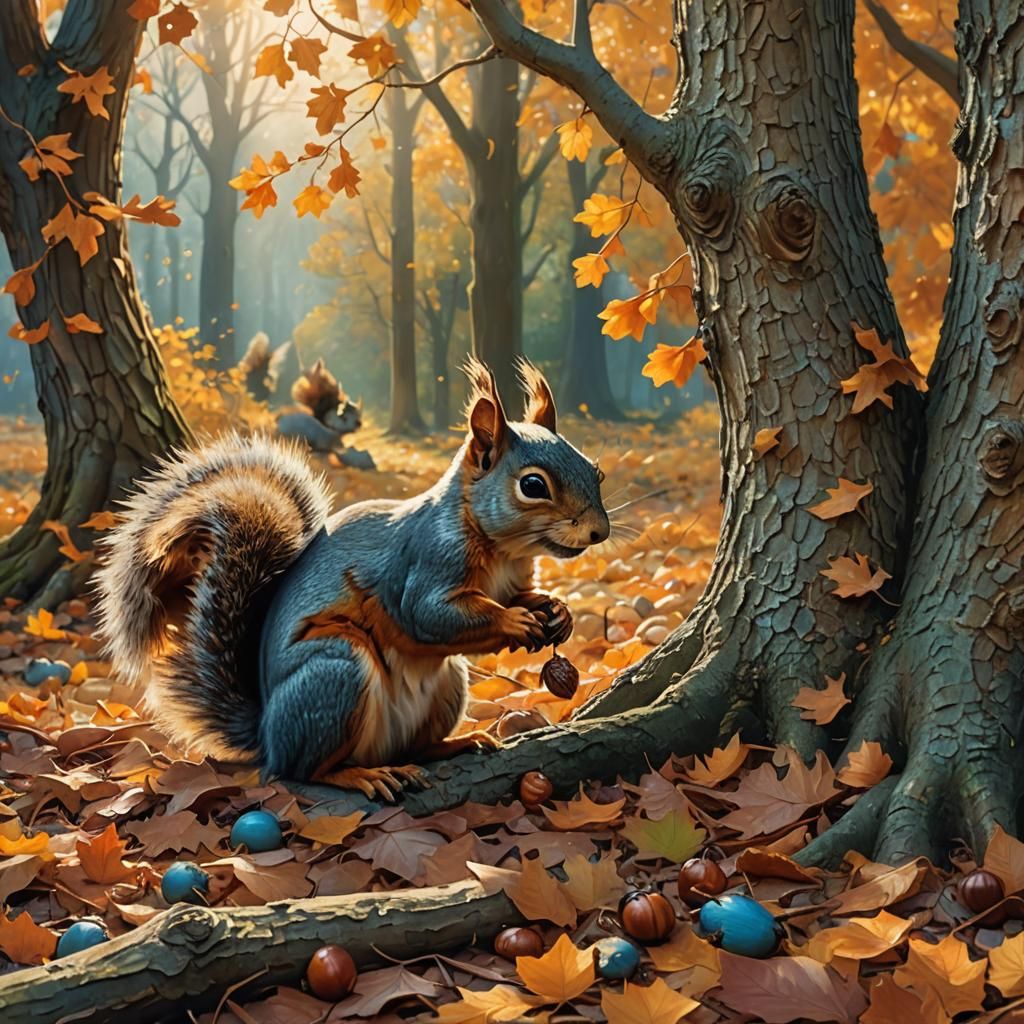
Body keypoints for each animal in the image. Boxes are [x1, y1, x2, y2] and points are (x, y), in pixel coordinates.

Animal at [95, 359, 610, 800]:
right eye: (533, 485)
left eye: (596, 471)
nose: (599, 532)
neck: (505, 550)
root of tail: (267, 736)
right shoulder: (423, 563)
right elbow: (431, 615)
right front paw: (515, 622)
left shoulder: (511, 581)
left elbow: (522, 595)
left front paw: (556, 610)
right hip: (335, 675)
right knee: (304, 770)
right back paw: (360, 776)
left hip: (446, 685)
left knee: (413, 747)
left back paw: (454, 744)